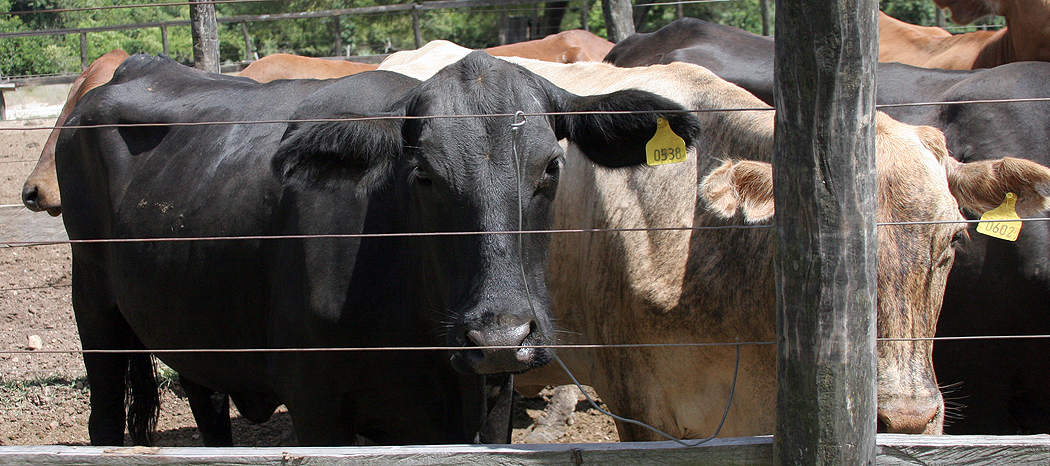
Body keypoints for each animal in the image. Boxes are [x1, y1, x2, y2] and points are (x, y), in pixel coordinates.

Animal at [55, 52, 697, 445]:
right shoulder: (315, 404)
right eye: (423, 175)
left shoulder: (492, 401)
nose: (499, 336)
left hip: (190, 323)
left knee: (207, 404)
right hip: (93, 302)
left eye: (551, 167)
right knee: (104, 418)